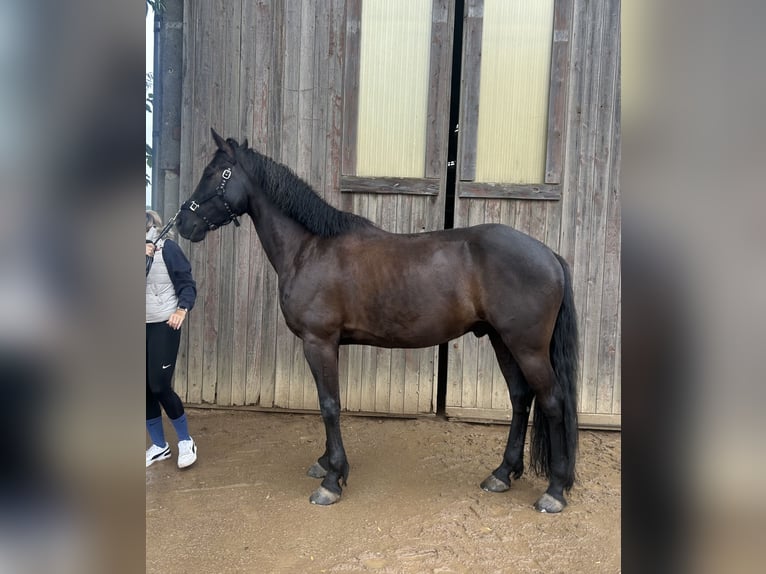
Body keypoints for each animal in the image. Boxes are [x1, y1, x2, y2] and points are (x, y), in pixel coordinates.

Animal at [177, 129, 580, 512]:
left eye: (214, 173)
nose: (183, 223)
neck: (309, 248)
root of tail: (549, 255)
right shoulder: (326, 344)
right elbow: (328, 402)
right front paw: (326, 463)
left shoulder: (319, 342)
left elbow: (329, 405)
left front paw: (332, 480)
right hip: (502, 340)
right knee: (520, 398)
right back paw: (502, 473)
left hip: (527, 347)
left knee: (552, 401)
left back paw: (554, 491)